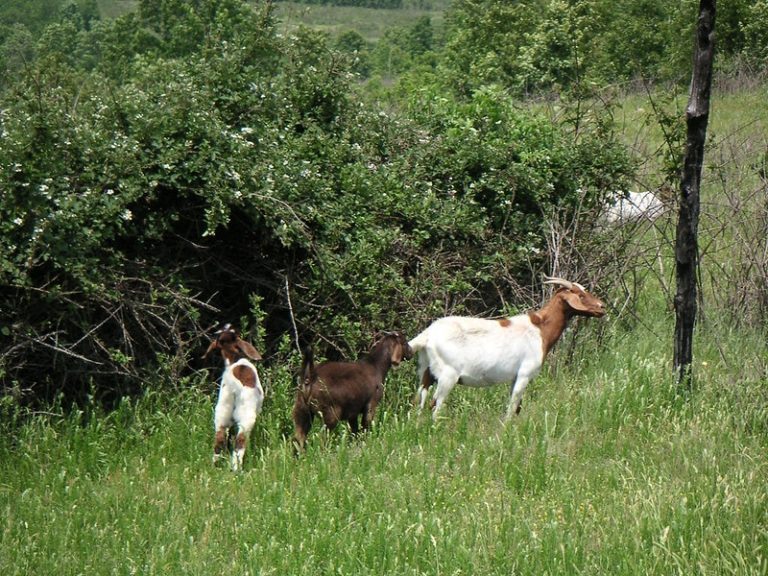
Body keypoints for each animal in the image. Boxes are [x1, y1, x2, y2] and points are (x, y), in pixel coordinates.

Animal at [203, 324, 264, 471]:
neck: (233, 359)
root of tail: (234, 386)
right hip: (247, 417)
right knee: (240, 442)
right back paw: (237, 469)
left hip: (222, 411)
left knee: (219, 439)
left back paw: (215, 465)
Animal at [408, 277, 606, 420]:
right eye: (580, 295)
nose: (602, 307)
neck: (540, 329)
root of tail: (428, 334)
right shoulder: (525, 374)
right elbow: (513, 406)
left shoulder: (514, 377)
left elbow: (517, 407)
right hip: (448, 375)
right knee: (435, 405)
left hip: (426, 371)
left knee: (419, 401)